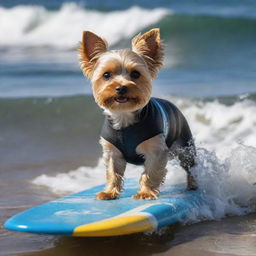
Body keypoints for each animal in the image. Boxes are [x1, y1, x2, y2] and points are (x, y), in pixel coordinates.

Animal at [77, 28, 196, 200]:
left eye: (135, 74)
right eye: (106, 75)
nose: (121, 87)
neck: (124, 116)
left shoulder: (156, 150)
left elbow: (151, 172)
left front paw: (145, 193)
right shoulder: (112, 152)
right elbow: (113, 172)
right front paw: (109, 192)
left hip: (185, 146)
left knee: (190, 167)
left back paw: (193, 185)